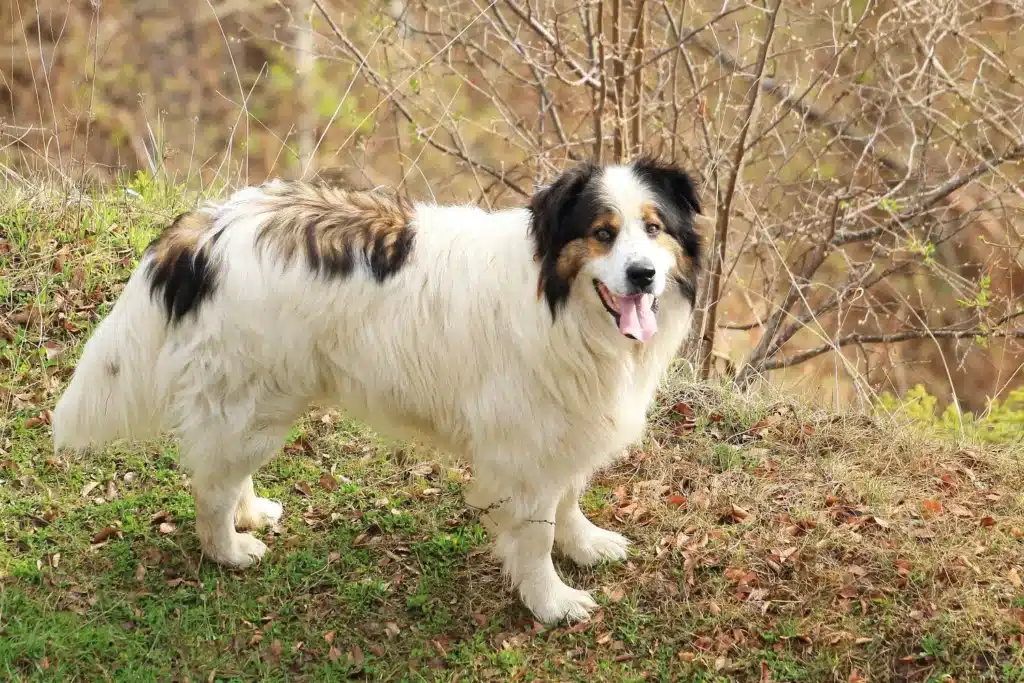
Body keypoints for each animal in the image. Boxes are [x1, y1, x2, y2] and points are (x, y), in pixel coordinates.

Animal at [54, 156, 704, 626]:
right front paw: (550, 602)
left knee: (224, 470)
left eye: (654, 229)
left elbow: (568, 499)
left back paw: (251, 514)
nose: (643, 274)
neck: (561, 305)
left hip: (256, 404)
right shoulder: (527, 444)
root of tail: (207, 230)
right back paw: (229, 550)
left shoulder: (566, 426)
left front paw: (585, 545)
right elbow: (537, 532)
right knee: (211, 485)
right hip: (254, 398)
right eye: (602, 233)